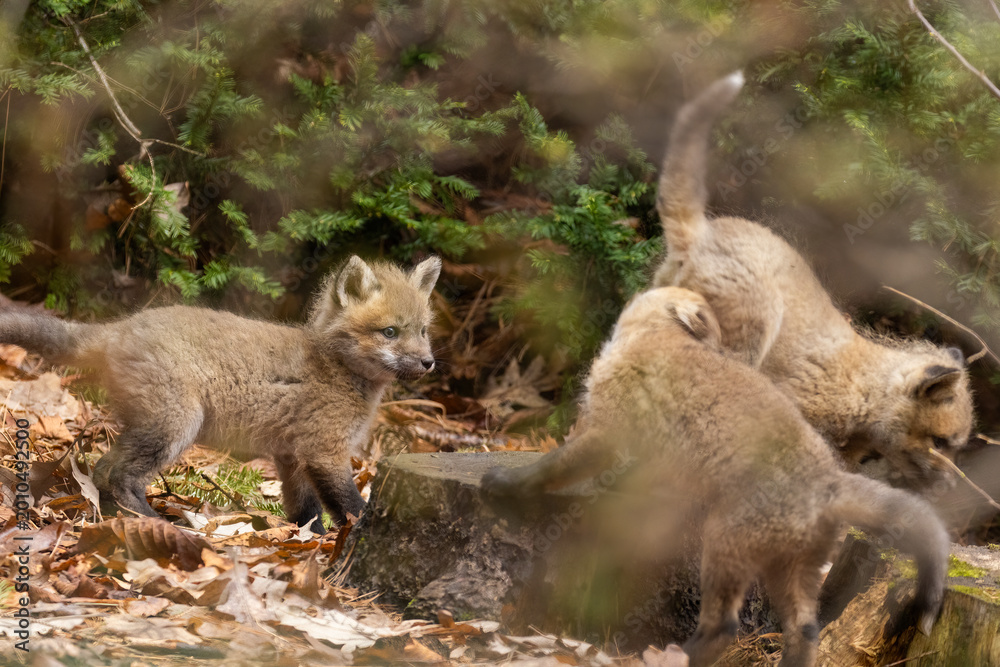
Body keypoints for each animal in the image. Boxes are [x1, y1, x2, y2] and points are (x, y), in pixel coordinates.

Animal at [0, 255, 441, 531]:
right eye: (389, 332)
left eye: (423, 331)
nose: (428, 362)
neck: (335, 366)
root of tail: (118, 327)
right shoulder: (325, 451)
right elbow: (350, 506)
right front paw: (353, 537)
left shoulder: (293, 455)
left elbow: (306, 512)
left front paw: (307, 542)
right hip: (177, 424)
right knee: (117, 474)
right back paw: (155, 523)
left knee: (104, 470)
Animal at [482, 287, 949, 667]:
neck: (657, 338)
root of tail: (827, 481)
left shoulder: (607, 433)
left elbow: (553, 468)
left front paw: (508, 485)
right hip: (792, 568)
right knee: (806, 631)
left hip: (724, 545)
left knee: (725, 626)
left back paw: (673, 657)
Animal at [652, 71, 973, 491]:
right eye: (939, 442)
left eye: (956, 447)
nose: (951, 489)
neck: (864, 393)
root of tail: (704, 231)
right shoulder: (793, 407)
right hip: (748, 339)